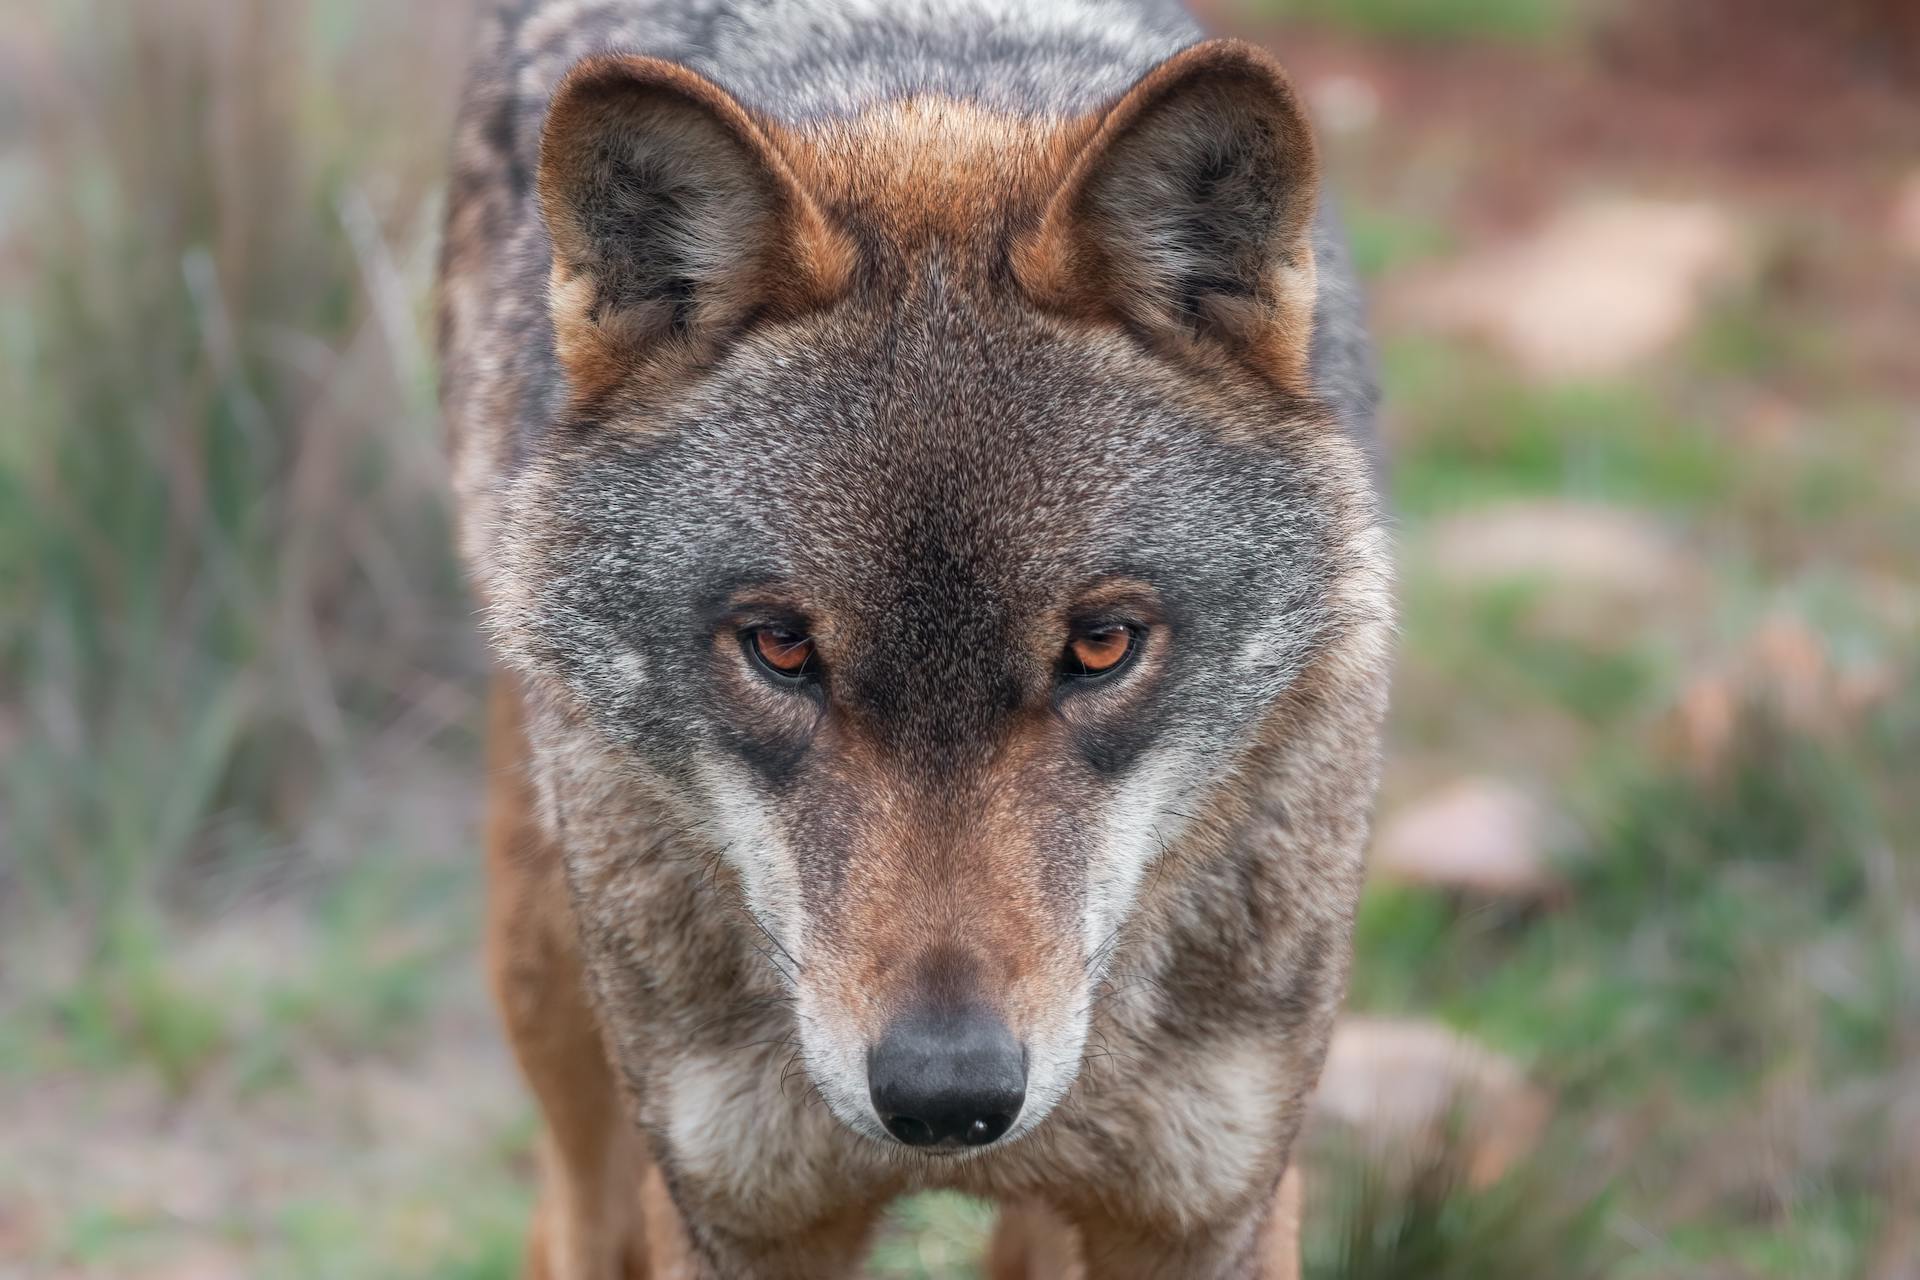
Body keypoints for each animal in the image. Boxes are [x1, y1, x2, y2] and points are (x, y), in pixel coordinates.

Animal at [439, 0, 1390, 1274]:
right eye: (781, 647)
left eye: (1103, 645)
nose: (948, 1094)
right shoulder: (736, 1217)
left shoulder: (1210, 1211)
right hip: (557, 989)